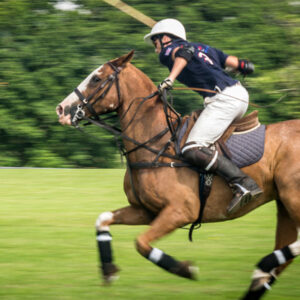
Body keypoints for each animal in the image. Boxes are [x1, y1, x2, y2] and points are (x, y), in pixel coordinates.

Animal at [55, 50, 300, 298]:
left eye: (96, 78)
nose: (61, 109)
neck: (156, 142)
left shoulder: (181, 211)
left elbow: (141, 243)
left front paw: (185, 269)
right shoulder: (146, 211)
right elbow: (103, 219)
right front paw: (108, 271)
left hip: (293, 198)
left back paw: (263, 265)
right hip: (284, 205)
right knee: (284, 256)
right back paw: (261, 276)